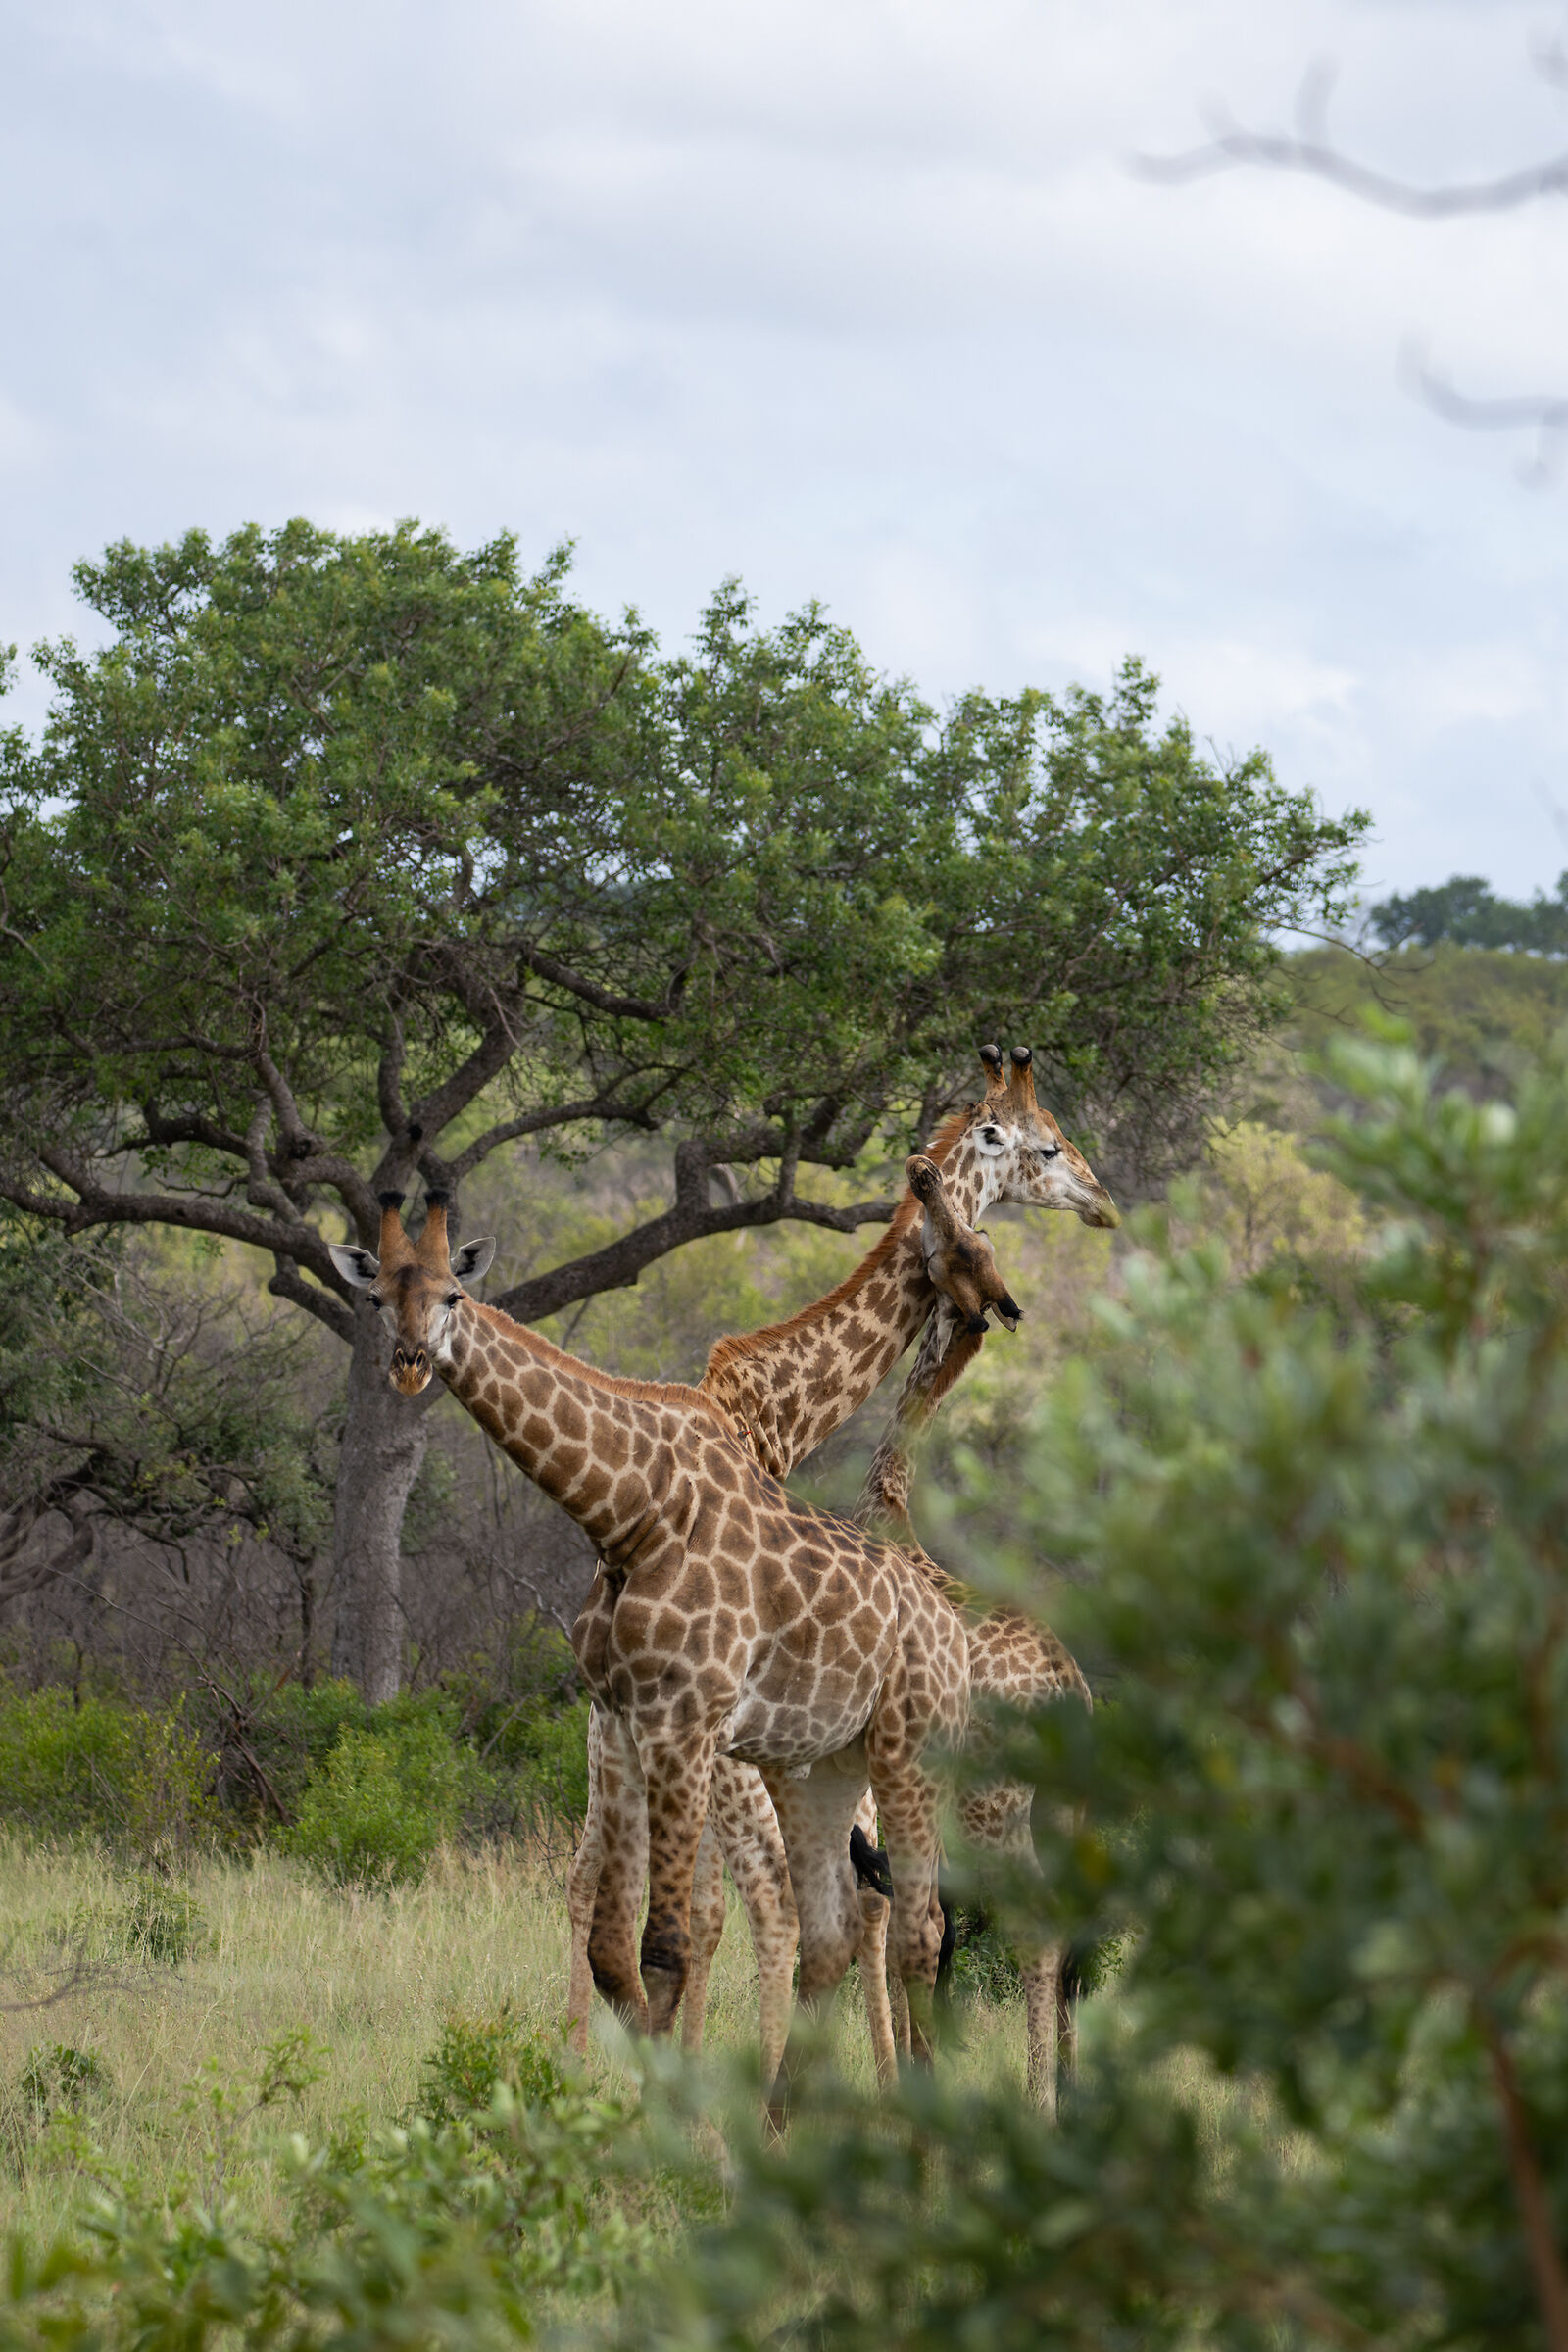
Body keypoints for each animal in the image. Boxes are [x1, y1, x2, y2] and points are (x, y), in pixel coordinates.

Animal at [328, 1192, 971, 2076]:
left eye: (453, 1294)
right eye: (377, 1297)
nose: (411, 1362)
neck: (630, 1512)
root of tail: (953, 1624)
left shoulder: (683, 1726)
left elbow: (664, 1947)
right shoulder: (622, 1723)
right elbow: (615, 1956)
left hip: (909, 1758)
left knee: (915, 1925)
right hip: (825, 1767)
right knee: (842, 1923)